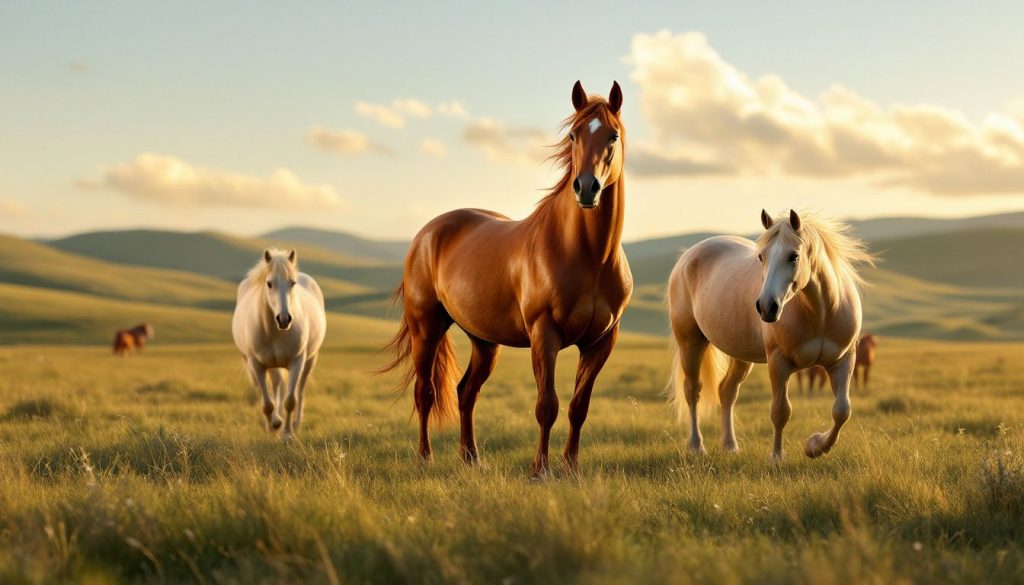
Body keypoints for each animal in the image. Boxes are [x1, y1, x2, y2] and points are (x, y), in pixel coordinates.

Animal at [232, 249, 326, 438]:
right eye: (269, 284)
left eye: (293, 283)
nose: (284, 319)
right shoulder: (256, 364)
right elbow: (267, 403)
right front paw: (273, 425)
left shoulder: (297, 361)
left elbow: (290, 400)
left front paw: (288, 434)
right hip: (259, 363)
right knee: (272, 387)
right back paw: (274, 422)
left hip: (310, 361)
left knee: (299, 391)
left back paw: (295, 424)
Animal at [380, 81, 632, 477]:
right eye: (573, 135)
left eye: (613, 136)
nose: (586, 188)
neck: (588, 256)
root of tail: (427, 233)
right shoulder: (544, 334)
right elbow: (547, 405)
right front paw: (540, 470)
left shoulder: (601, 342)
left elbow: (579, 407)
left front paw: (571, 468)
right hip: (427, 328)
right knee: (425, 392)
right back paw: (425, 457)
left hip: (484, 342)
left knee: (466, 393)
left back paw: (471, 458)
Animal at [667, 210, 872, 461]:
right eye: (761, 257)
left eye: (793, 256)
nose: (766, 307)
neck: (822, 313)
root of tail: (688, 256)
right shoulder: (779, 362)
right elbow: (780, 411)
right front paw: (777, 457)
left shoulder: (843, 361)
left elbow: (842, 410)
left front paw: (815, 446)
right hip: (690, 342)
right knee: (693, 390)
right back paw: (697, 446)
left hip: (740, 354)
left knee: (727, 391)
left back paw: (730, 445)